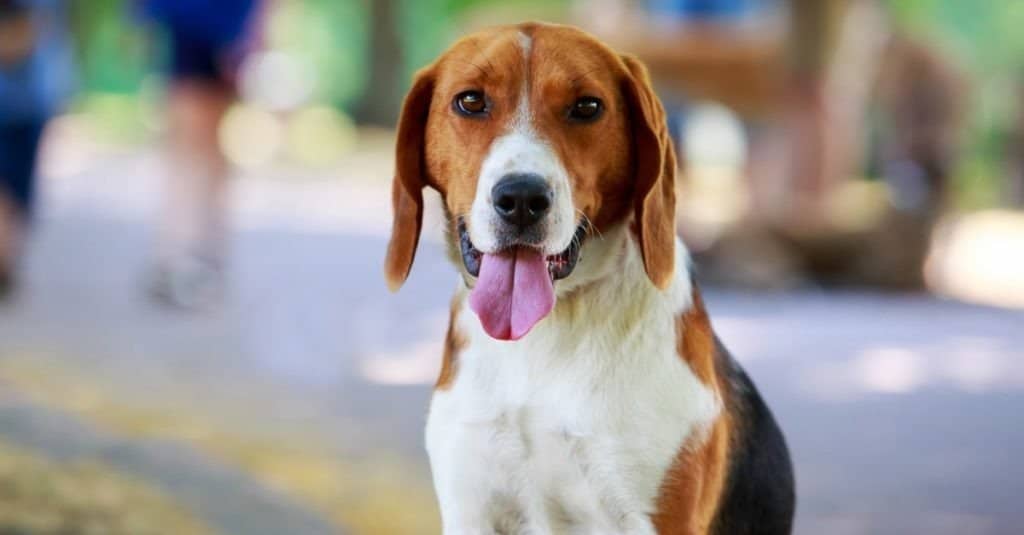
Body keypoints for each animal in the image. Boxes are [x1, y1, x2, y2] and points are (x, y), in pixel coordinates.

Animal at [385, 21, 790, 532]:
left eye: (587, 107)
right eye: (471, 101)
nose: (522, 198)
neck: (546, 333)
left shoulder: (653, 518)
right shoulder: (469, 506)